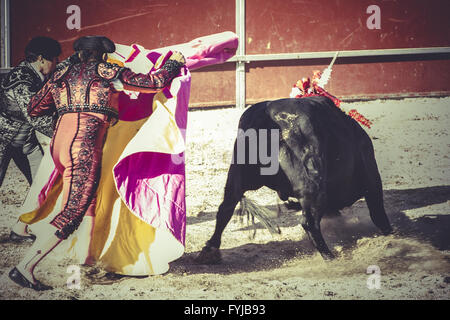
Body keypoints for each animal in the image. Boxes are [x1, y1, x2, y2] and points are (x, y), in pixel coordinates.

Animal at [195, 96, 392, 264]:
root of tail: (268, 116)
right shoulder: (372, 180)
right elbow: (378, 212)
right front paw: (390, 233)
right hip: (312, 181)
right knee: (309, 222)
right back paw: (330, 257)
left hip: (238, 175)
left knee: (225, 208)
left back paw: (210, 250)